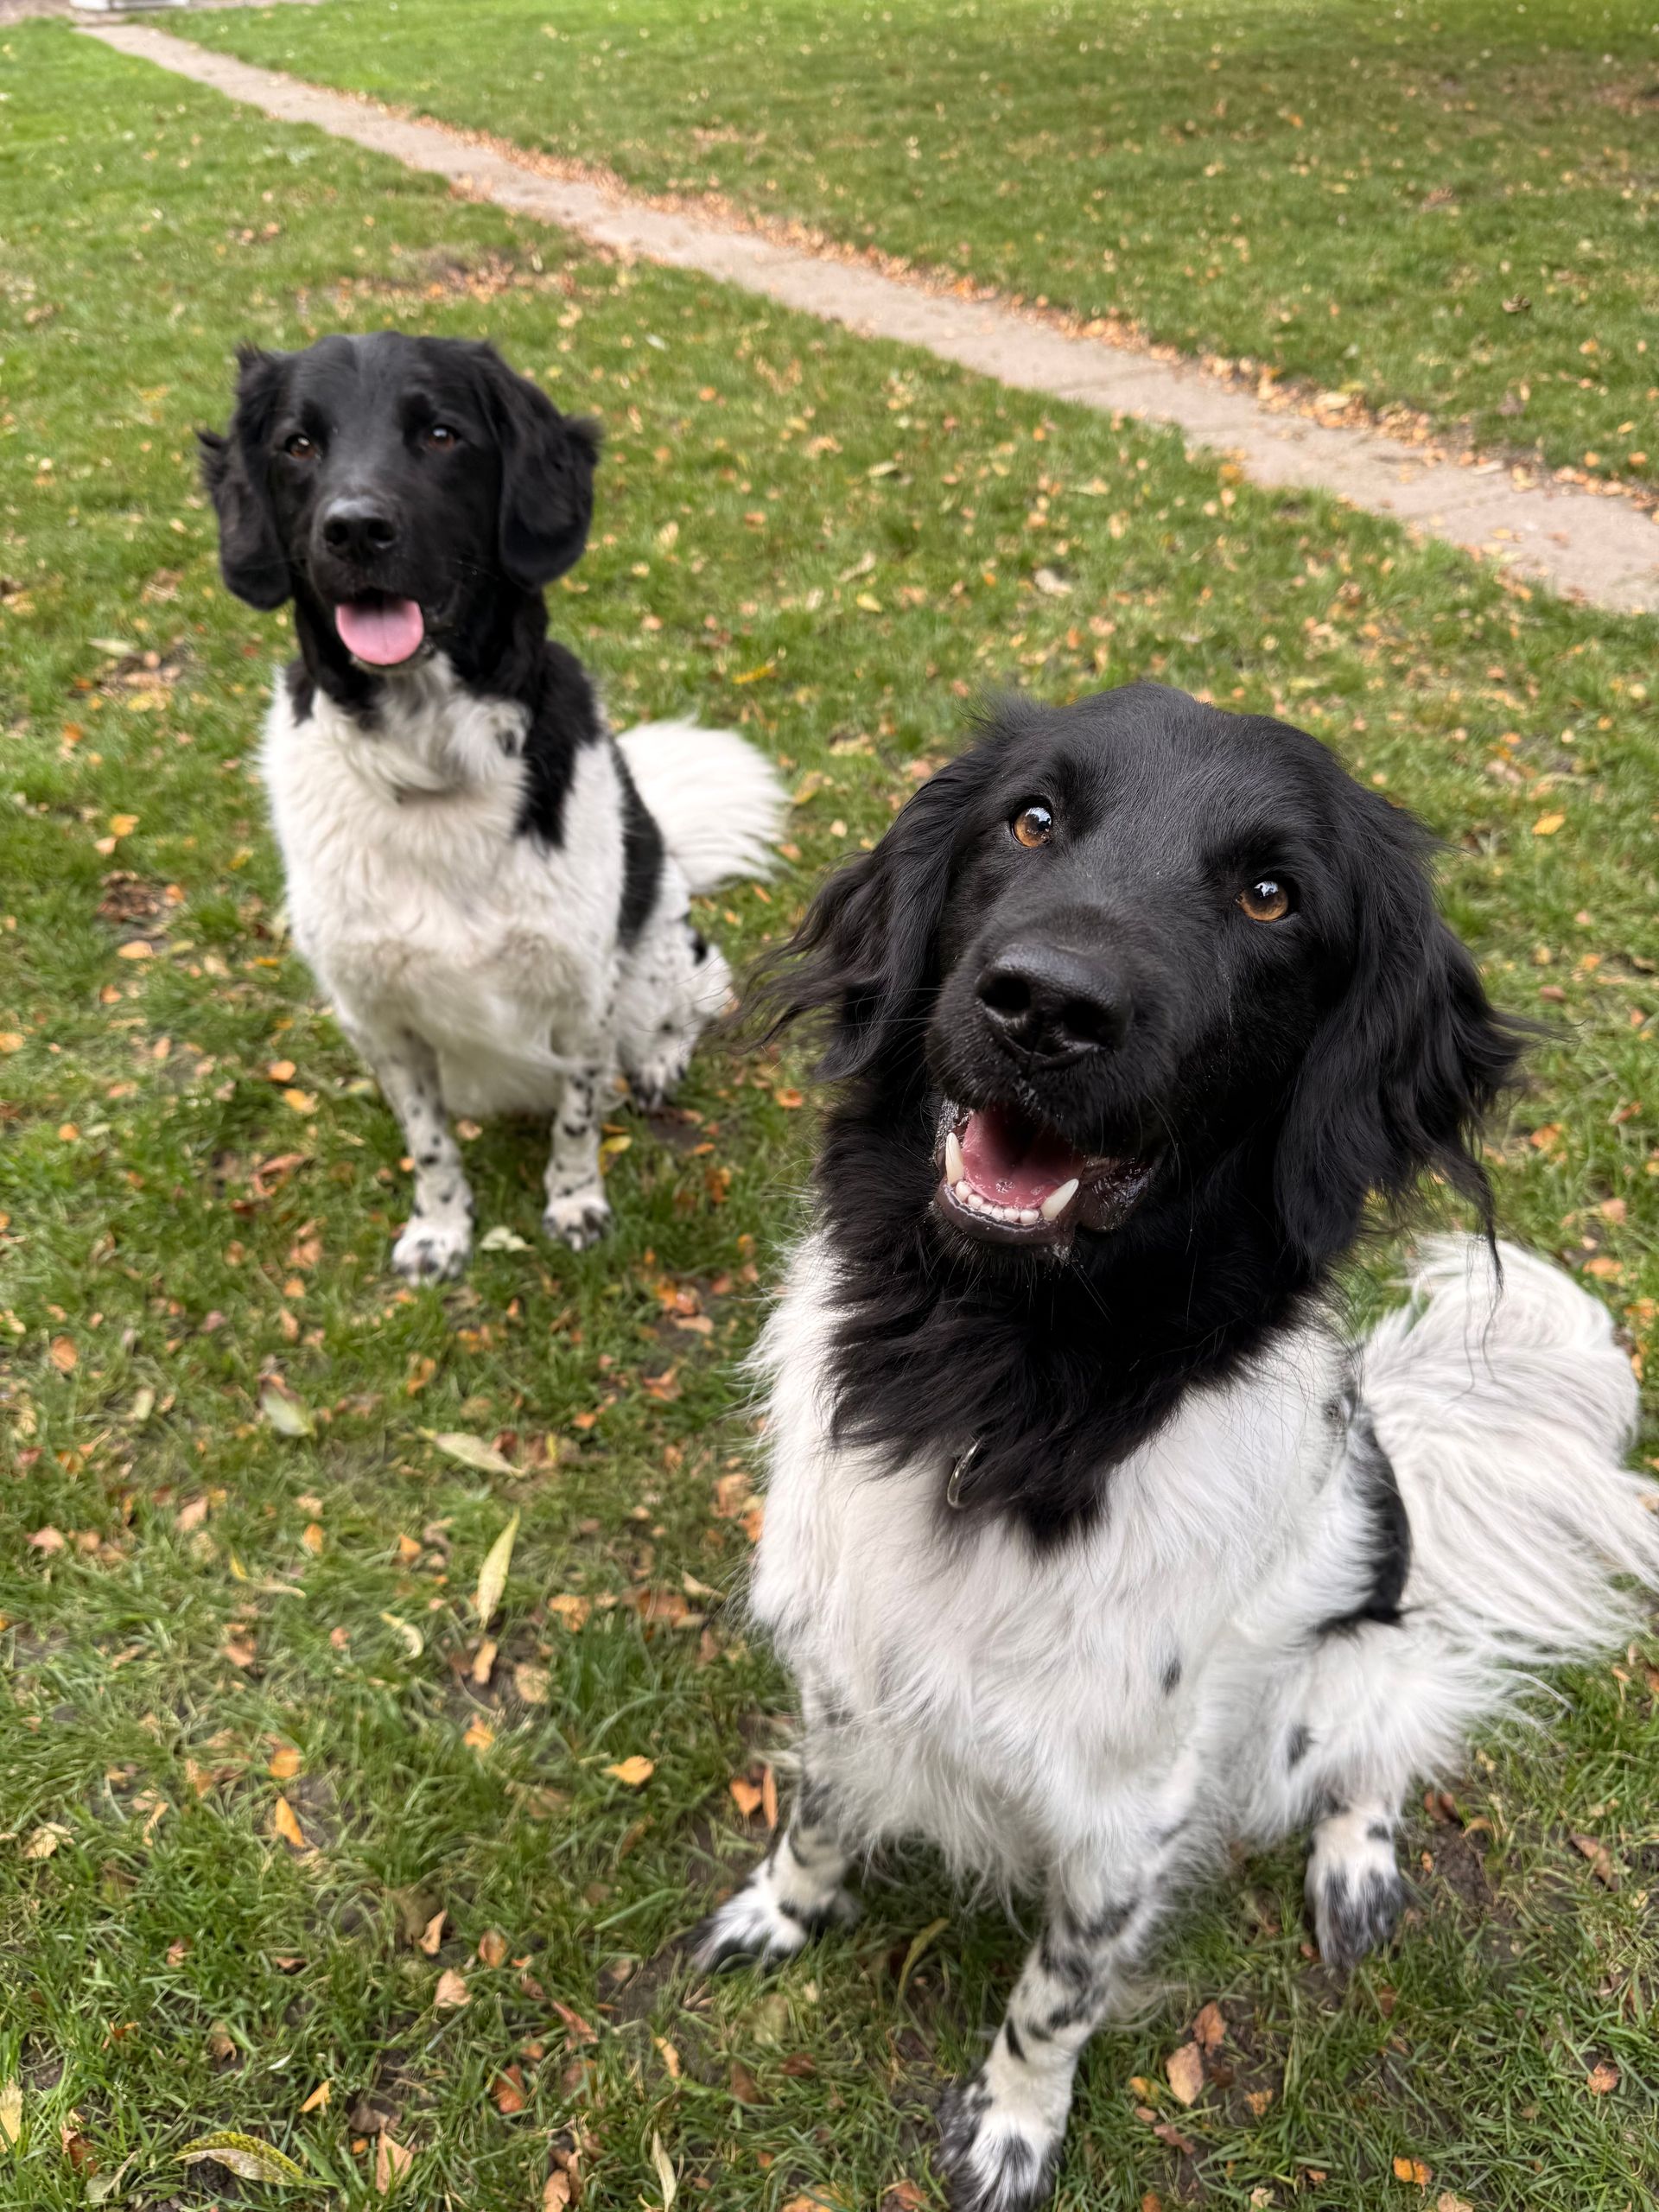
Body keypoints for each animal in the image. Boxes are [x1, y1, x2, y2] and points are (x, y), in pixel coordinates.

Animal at [201, 332, 783, 1277]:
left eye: (441, 434)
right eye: (298, 445)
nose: (354, 527)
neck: (431, 759)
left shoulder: (583, 995)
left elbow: (578, 1121)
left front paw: (575, 1203)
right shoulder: (380, 1020)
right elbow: (429, 1140)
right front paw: (441, 1229)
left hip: (653, 956)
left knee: (695, 994)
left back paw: (661, 1061)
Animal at [695, 684, 1657, 2212]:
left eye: (1272, 896)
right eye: (1031, 819)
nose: (1045, 1005)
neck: (1002, 1384)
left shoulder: (1123, 1806)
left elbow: (1056, 1992)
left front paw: (1014, 2128)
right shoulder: (845, 1669)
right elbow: (822, 1813)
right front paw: (782, 1914)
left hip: (1326, 1689)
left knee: (1386, 1740)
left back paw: (1355, 1867)